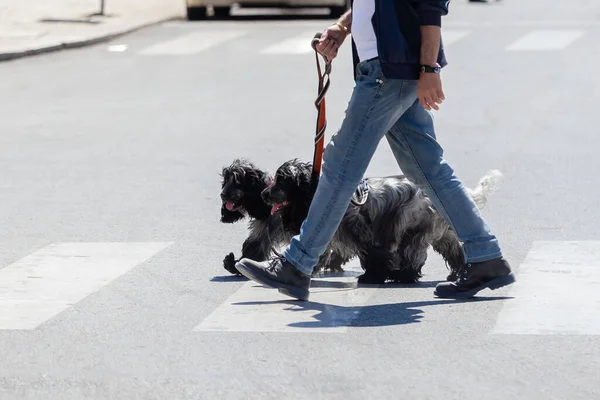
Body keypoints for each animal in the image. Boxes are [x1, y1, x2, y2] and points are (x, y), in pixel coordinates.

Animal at [262, 159, 502, 284]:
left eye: (282, 181)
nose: (264, 194)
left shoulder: (363, 231)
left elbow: (372, 254)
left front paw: (372, 276)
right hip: (440, 232)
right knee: (455, 251)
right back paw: (457, 273)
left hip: (413, 231)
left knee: (413, 256)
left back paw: (403, 276)